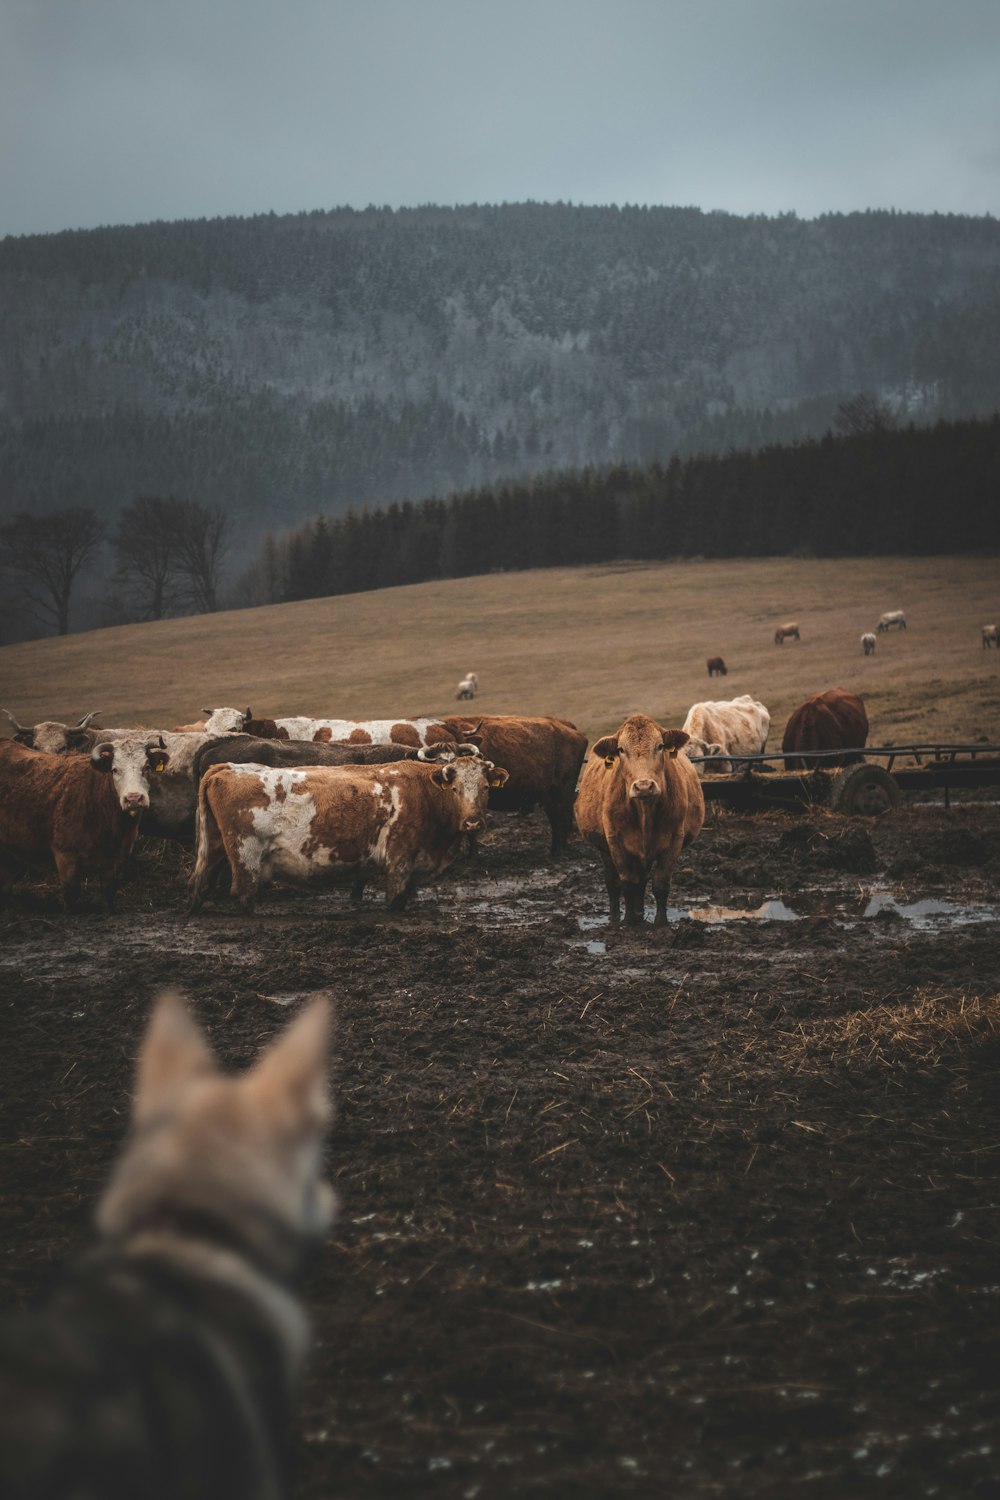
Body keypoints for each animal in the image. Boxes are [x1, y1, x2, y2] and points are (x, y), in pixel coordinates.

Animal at [189, 756, 509, 906]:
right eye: (455, 789)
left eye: (485, 787)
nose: (473, 823)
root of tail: (225, 768)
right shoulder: (399, 861)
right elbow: (395, 900)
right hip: (246, 856)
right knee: (243, 894)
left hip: (215, 848)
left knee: (201, 884)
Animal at [440, 714, 590, 858]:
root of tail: (567, 726)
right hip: (549, 795)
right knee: (556, 820)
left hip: (563, 792)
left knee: (562, 820)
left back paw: (558, 853)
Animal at [575, 714, 707, 924]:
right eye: (621, 750)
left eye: (660, 746)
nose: (644, 786)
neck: (645, 812)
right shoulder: (615, 842)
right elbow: (628, 883)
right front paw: (629, 922)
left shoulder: (674, 840)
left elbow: (660, 884)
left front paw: (660, 922)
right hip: (605, 850)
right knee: (613, 884)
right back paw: (615, 918)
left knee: (642, 881)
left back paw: (639, 912)